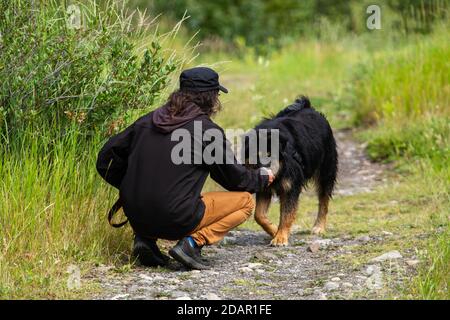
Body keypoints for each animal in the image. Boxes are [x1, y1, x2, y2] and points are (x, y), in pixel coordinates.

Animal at [244, 96, 336, 246]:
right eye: (255, 155)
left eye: (269, 153)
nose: (265, 170)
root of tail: (308, 107)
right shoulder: (265, 189)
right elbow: (259, 215)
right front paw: (274, 230)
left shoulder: (291, 187)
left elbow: (287, 214)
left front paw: (280, 237)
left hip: (326, 170)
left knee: (324, 200)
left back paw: (319, 227)